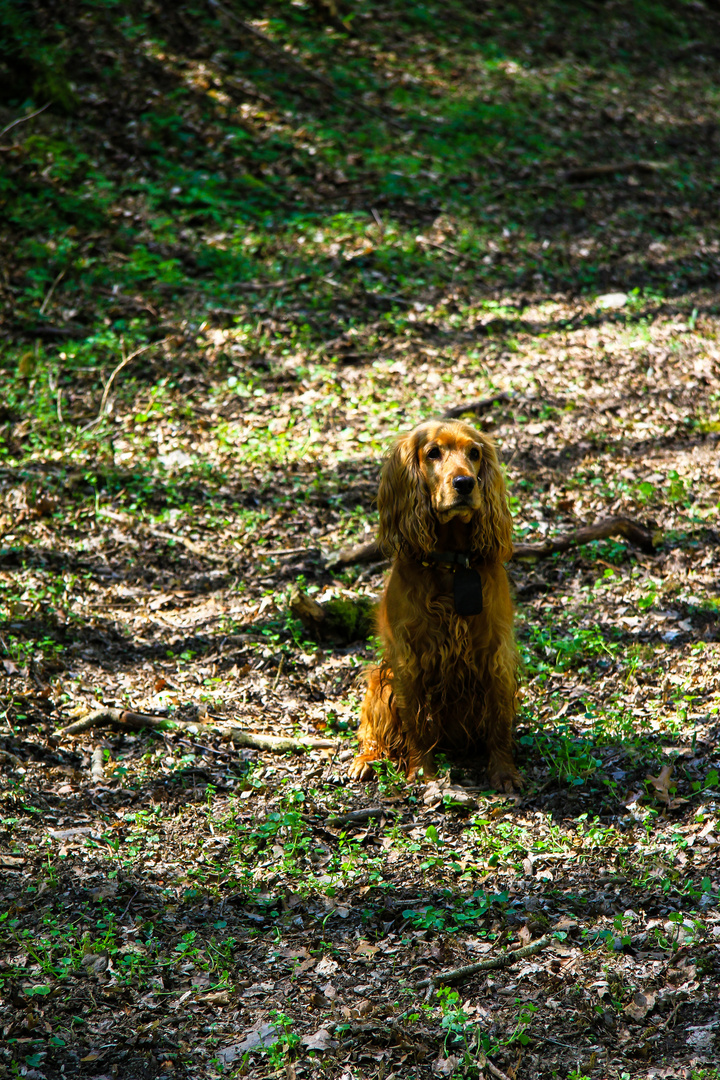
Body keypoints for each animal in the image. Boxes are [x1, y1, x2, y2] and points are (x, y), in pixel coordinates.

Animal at [347, 416, 520, 790]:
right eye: (433, 453)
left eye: (474, 453)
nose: (465, 483)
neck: (451, 564)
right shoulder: (408, 659)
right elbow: (415, 725)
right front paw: (422, 773)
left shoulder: (495, 653)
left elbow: (500, 722)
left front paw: (504, 771)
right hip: (379, 681)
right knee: (372, 733)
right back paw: (366, 760)